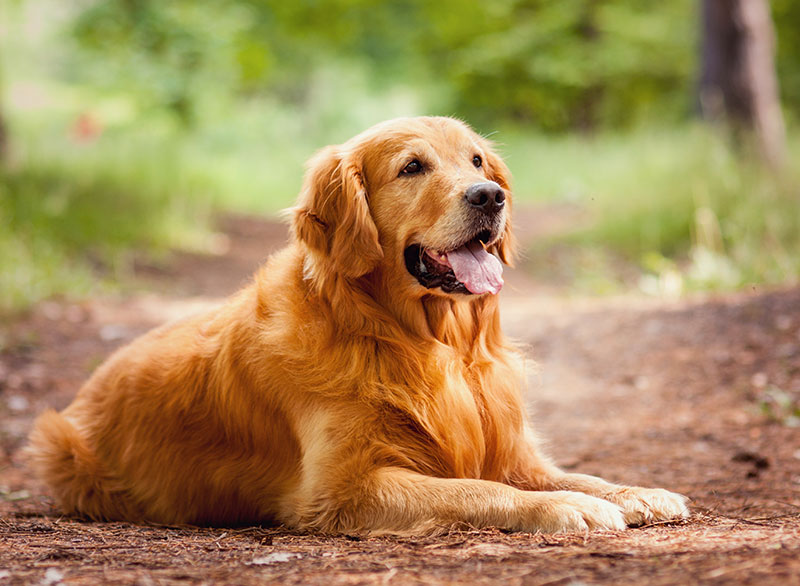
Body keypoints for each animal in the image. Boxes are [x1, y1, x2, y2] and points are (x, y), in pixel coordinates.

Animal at [26, 116, 688, 532]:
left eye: (476, 159)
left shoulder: (513, 450)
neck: (423, 341)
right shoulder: (343, 488)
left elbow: (576, 474)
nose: (489, 195)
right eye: (412, 167)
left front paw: (635, 492)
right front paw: (564, 508)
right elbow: (477, 489)